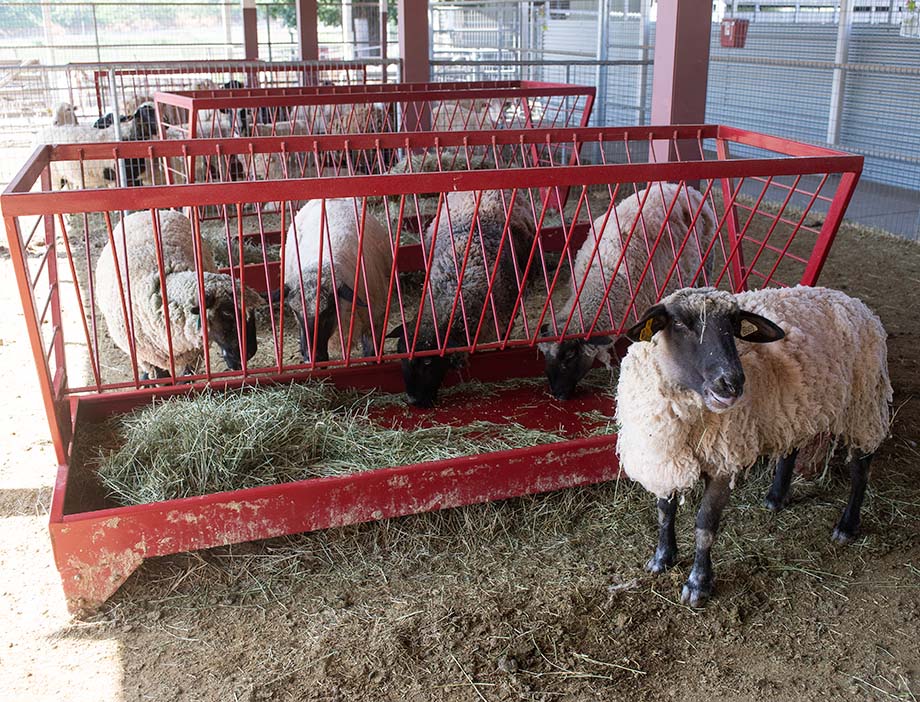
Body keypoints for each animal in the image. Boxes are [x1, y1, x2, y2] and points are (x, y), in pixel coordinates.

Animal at [615, 285, 892, 606]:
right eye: (681, 323)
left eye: (734, 325)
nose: (732, 383)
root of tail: (853, 301)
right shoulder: (662, 456)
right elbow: (664, 511)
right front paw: (662, 557)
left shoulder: (723, 461)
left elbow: (705, 526)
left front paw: (698, 584)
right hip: (796, 409)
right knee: (791, 450)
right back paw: (775, 497)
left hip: (863, 406)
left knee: (861, 471)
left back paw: (847, 526)